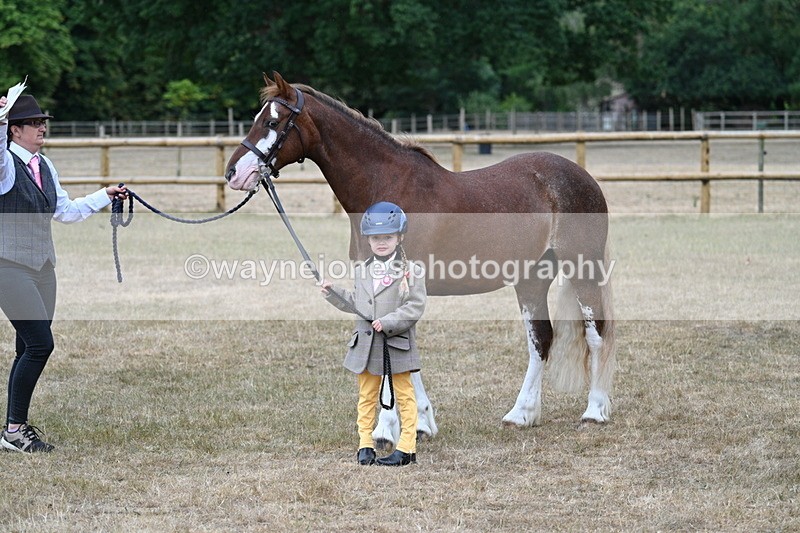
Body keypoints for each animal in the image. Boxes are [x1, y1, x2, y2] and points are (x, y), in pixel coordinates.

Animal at [225, 72, 616, 448]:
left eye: (273, 122)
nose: (234, 173)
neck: (387, 192)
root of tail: (582, 177)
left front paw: (389, 430)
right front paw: (419, 424)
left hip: (582, 267)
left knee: (596, 333)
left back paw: (594, 411)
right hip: (532, 278)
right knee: (541, 339)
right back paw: (521, 415)